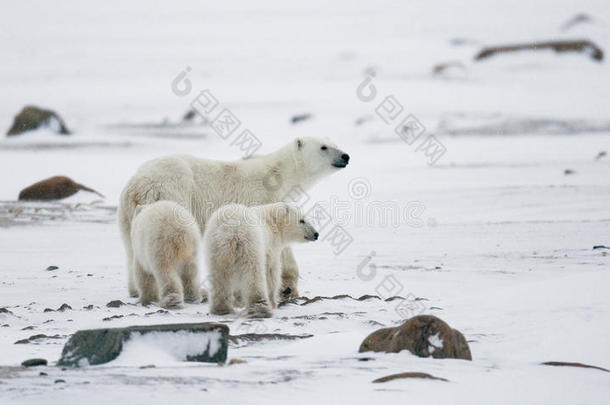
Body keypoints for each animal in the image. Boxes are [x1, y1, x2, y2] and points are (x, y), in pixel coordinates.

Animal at [119, 137, 350, 298]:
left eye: (334, 143)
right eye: (323, 147)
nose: (346, 156)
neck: (279, 175)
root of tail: (139, 185)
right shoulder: (261, 199)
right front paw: (286, 287)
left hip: (127, 212)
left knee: (131, 249)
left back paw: (137, 289)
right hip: (173, 194)